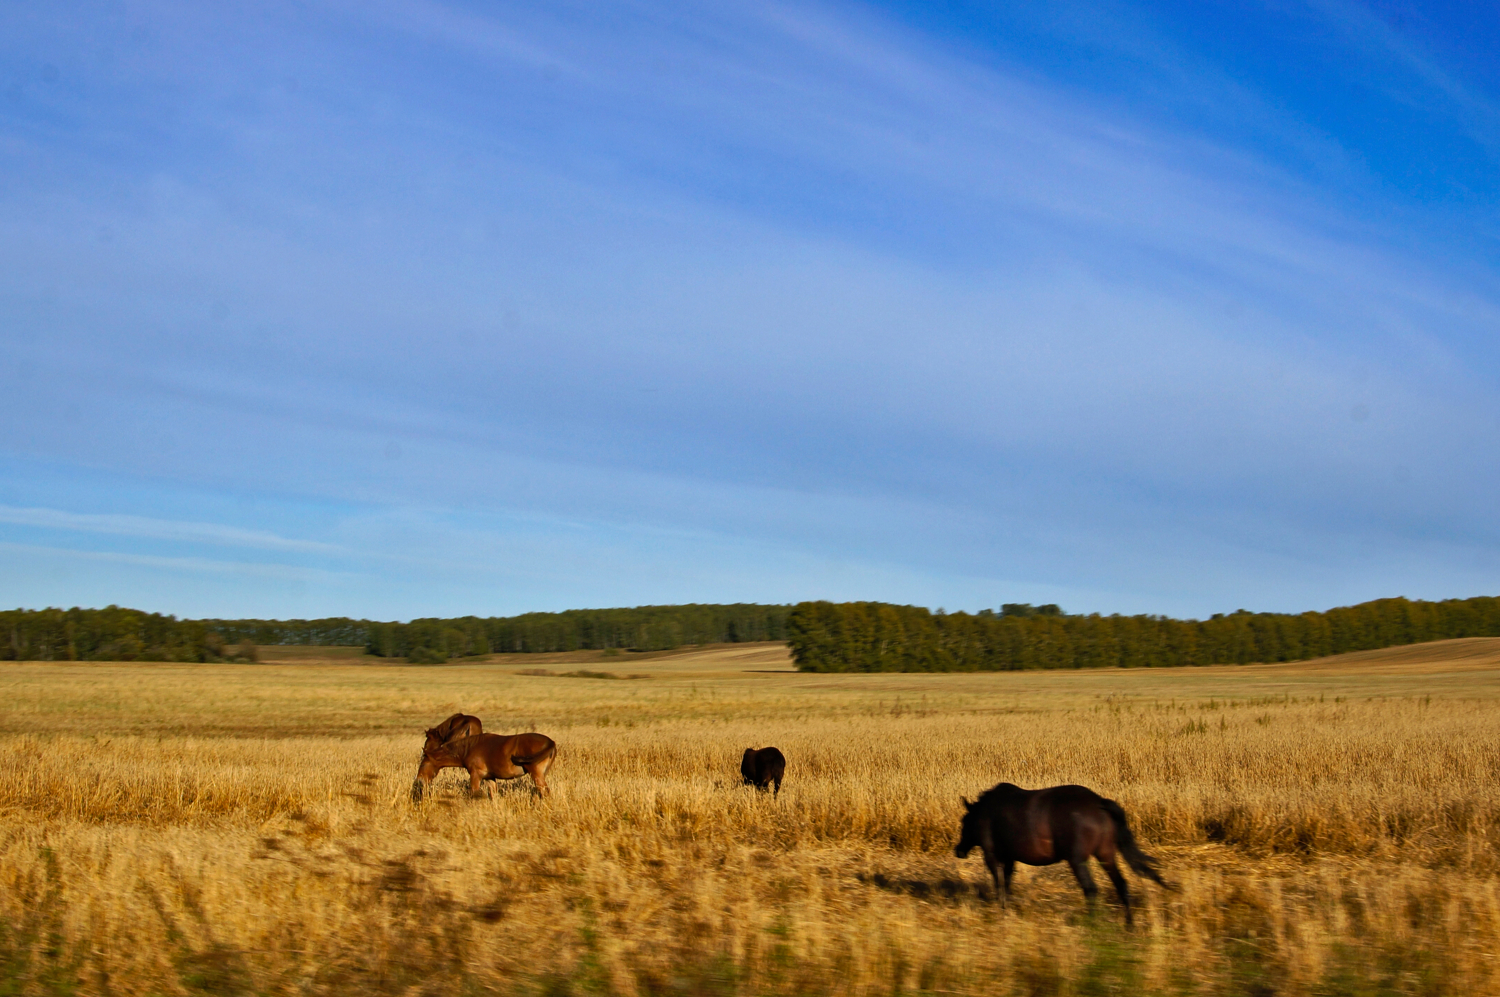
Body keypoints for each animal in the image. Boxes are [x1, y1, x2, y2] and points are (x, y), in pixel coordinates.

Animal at [414, 728, 555, 797]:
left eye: (423, 764)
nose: (419, 781)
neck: (468, 749)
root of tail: (550, 742)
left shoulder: (476, 776)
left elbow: (474, 794)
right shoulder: (489, 778)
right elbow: (493, 796)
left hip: (536, 774)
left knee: (545, 792)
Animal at [954, 779, 1164, 923]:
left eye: (964, 822)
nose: (958, 851)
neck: (986, 811)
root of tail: (1099, 803)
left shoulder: (991, 855)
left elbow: (999, 882)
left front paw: (1003, 907)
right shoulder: (1009, 858)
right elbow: (1006, 881)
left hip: (1077, 859)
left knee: (1091, 888)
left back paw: (1093, 923)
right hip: (1105, 854)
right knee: (1121, 884)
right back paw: (1129, 925)